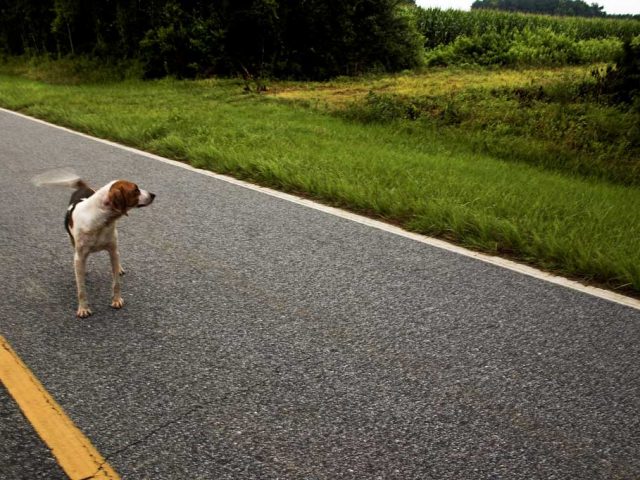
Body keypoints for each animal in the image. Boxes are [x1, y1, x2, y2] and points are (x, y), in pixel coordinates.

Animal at [35, 170, 155, 318]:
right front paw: (83, 308)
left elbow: (116, 283)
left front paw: (116, 300)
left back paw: (119, 268)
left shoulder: (112, 250)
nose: (153, 195)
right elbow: (81, 289)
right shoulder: (79, 256)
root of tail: (84, 187)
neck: (100, 219)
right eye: (135, 190)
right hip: (73, 244)